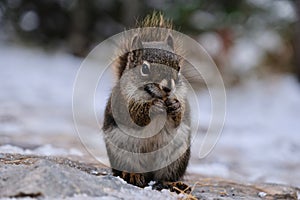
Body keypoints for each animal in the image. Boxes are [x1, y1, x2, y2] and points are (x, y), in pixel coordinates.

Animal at [103, 12, 191, 191]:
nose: (168, 87)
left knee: (164, 175)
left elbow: (178, 119)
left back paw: (172, 183)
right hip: (124, 153)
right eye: (144, 69)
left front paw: (175, 107)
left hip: (175, 156)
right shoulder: (120, 102)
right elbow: (133, 115)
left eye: (178, 67)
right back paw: (132, 175)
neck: (152, 95)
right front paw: (153, 108)